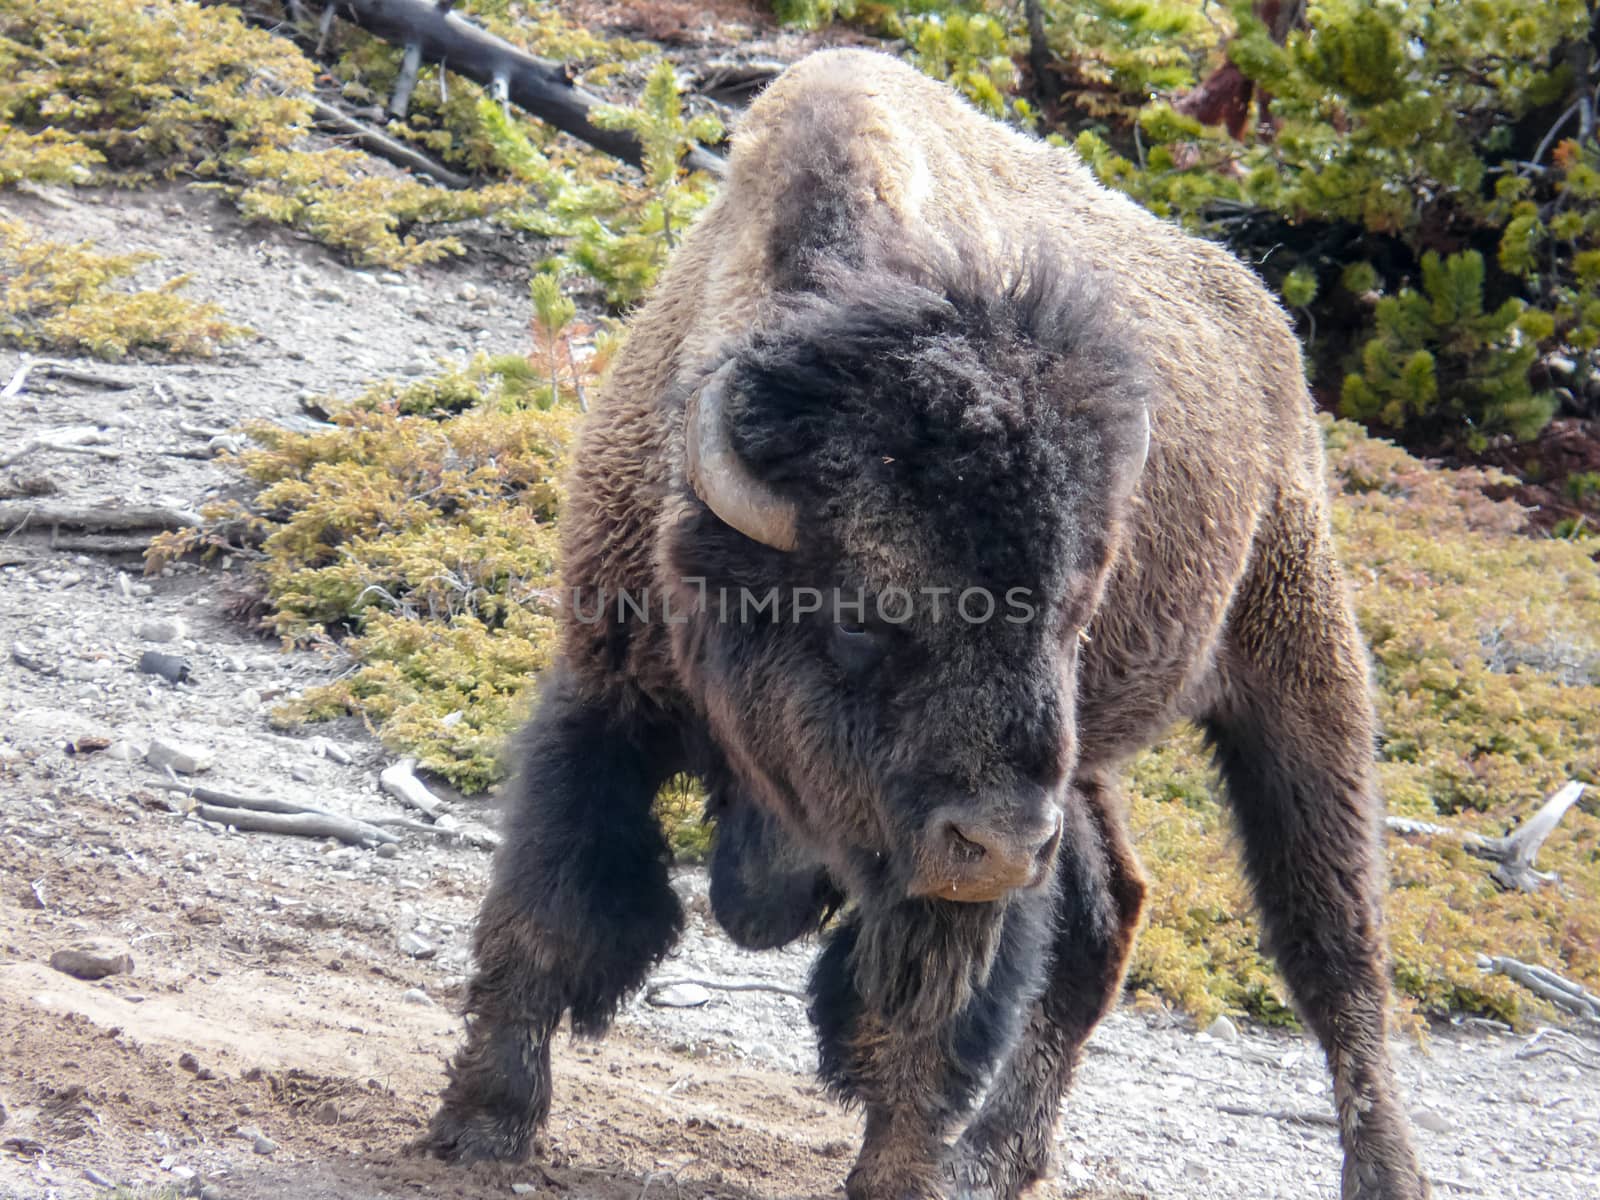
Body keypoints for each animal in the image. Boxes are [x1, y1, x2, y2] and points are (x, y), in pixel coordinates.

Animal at [422, 47, 1427, 1200]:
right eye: (863, 619)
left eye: (1070, 614)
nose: (999, 844)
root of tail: (1272, 337)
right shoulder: (607, 694)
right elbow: (550, 907)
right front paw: (480, 1127)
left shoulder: (958, 852)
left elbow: (922, 1016)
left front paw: (896, 1178)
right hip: (1089, 770)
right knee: (1108, 916)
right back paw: (997, 1158)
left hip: (1296, 682)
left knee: (1337, 954)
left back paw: (1385, 1174)